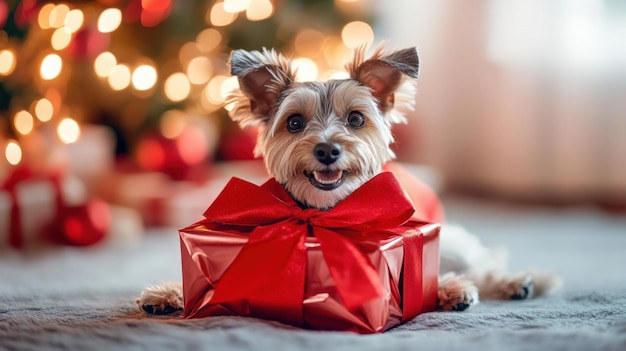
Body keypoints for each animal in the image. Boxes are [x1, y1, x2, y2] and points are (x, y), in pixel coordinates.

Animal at [139, 46, 560, 316]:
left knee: (480, 264)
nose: (327, 149)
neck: (322, 213)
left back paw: (510, 283)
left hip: (455, 241)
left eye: (356, 118)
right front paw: (171, 291)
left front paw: (445, 287)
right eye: (294, 122)